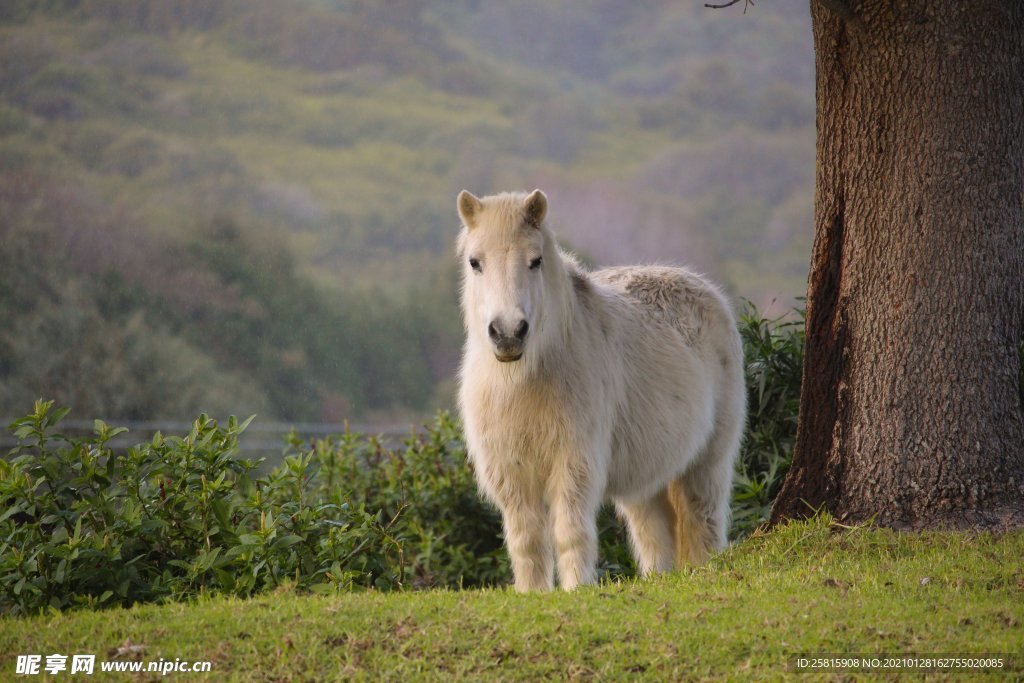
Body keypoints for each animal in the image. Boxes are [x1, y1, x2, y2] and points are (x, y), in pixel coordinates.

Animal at [456, 189, 745, 589]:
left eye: (535, 261)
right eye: (475, 262)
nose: (509, 333)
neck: (524, 381)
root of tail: (706, 289)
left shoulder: (574, 463)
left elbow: (570, 532)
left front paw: (577, 589)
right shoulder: (510, 473)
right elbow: (526, 541)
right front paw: (533, 594)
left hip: (707, 464)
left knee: (704, 523)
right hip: (646, 480)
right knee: (655, 535)